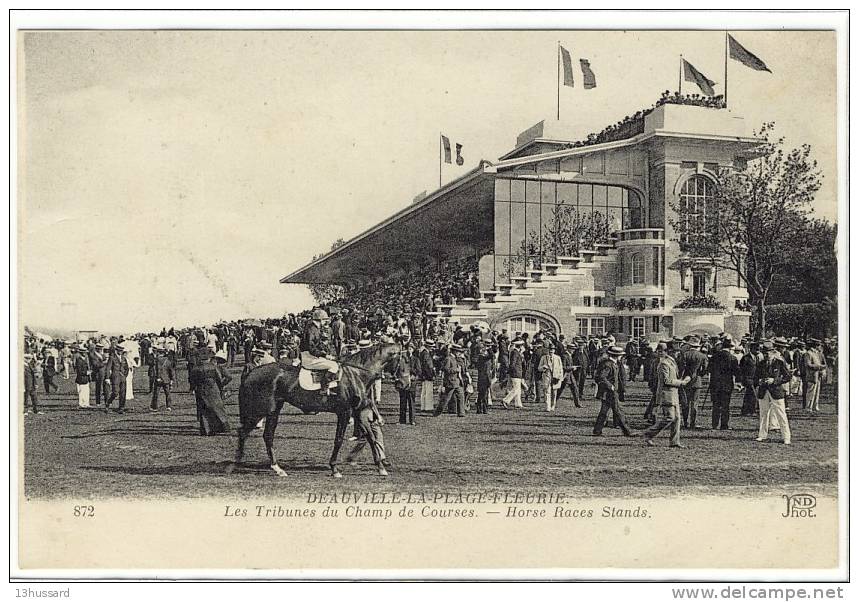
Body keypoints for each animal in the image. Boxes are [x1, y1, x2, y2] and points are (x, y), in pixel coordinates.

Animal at [227, 342, 404, 478]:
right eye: (405, 358)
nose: (402, 383)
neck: (356, 373)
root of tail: (251, 373)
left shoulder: (358, 411)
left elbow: (371, 437)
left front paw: (381, 467)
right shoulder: (344, 412)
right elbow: (338, 440)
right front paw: (334, 469)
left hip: (273, 411)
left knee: (267, 436)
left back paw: (277, 468)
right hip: (260, 411)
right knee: (243, 432)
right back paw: (236, 464)